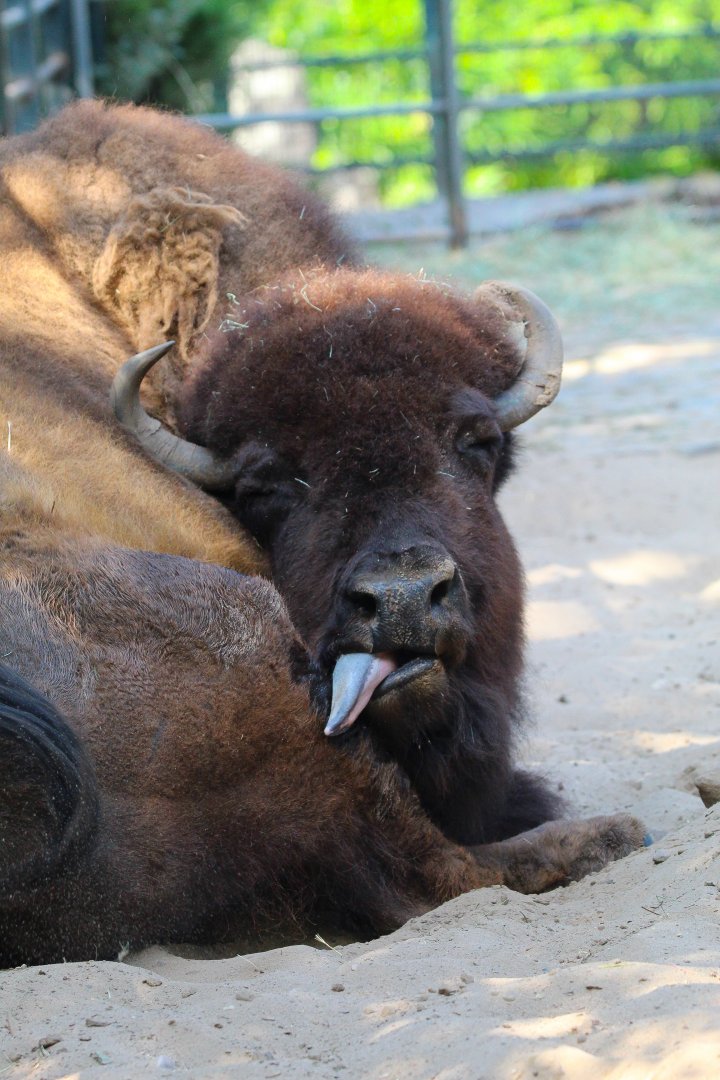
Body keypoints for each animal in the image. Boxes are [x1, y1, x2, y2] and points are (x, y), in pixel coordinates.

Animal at [0, 100, 644, 966]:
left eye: (477, 442)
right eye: (267, 485)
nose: (404, 597)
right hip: (250, 641)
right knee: (439, 873)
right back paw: (611, 834)